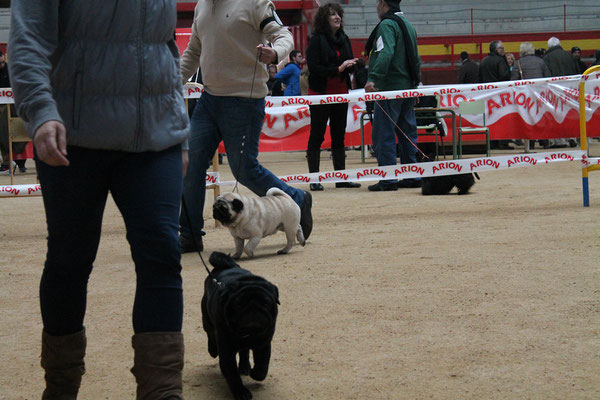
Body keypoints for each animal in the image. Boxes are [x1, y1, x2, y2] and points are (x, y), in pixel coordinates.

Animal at [200, 252, 278, 398]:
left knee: (244, 351)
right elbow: (232, 374)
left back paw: (245, 366)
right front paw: (241, 392)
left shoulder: (263, 343)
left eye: (266, 302)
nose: (253, 309)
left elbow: (263, 365)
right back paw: (213, 350)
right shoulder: (226, 351)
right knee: (210, 334)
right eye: (238, 304)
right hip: (206, 319)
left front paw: (255, 373)